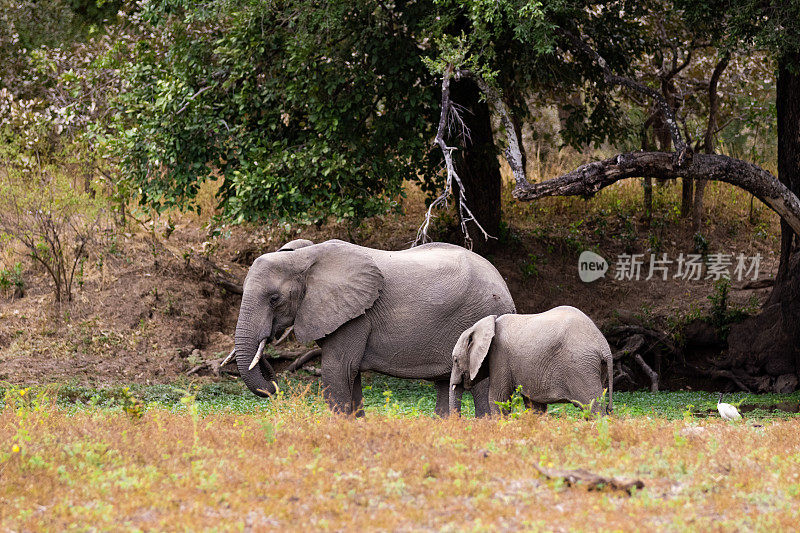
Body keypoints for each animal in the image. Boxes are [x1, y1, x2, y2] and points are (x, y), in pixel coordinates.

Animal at [234, 238, 516, 416]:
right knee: (443, 384)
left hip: (481, 313)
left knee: (481, 389)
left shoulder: (356, 316)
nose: (274, 382)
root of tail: (506, 289)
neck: (304, 257)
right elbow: (351, 376)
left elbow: (337, 371)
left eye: (274, 299)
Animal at [450, 306, 612, 414]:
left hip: (581, 366)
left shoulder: (499, 355)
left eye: (455, 360)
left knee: (593, 407)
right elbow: (534, 405)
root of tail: (604, 347)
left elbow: (498, 397)